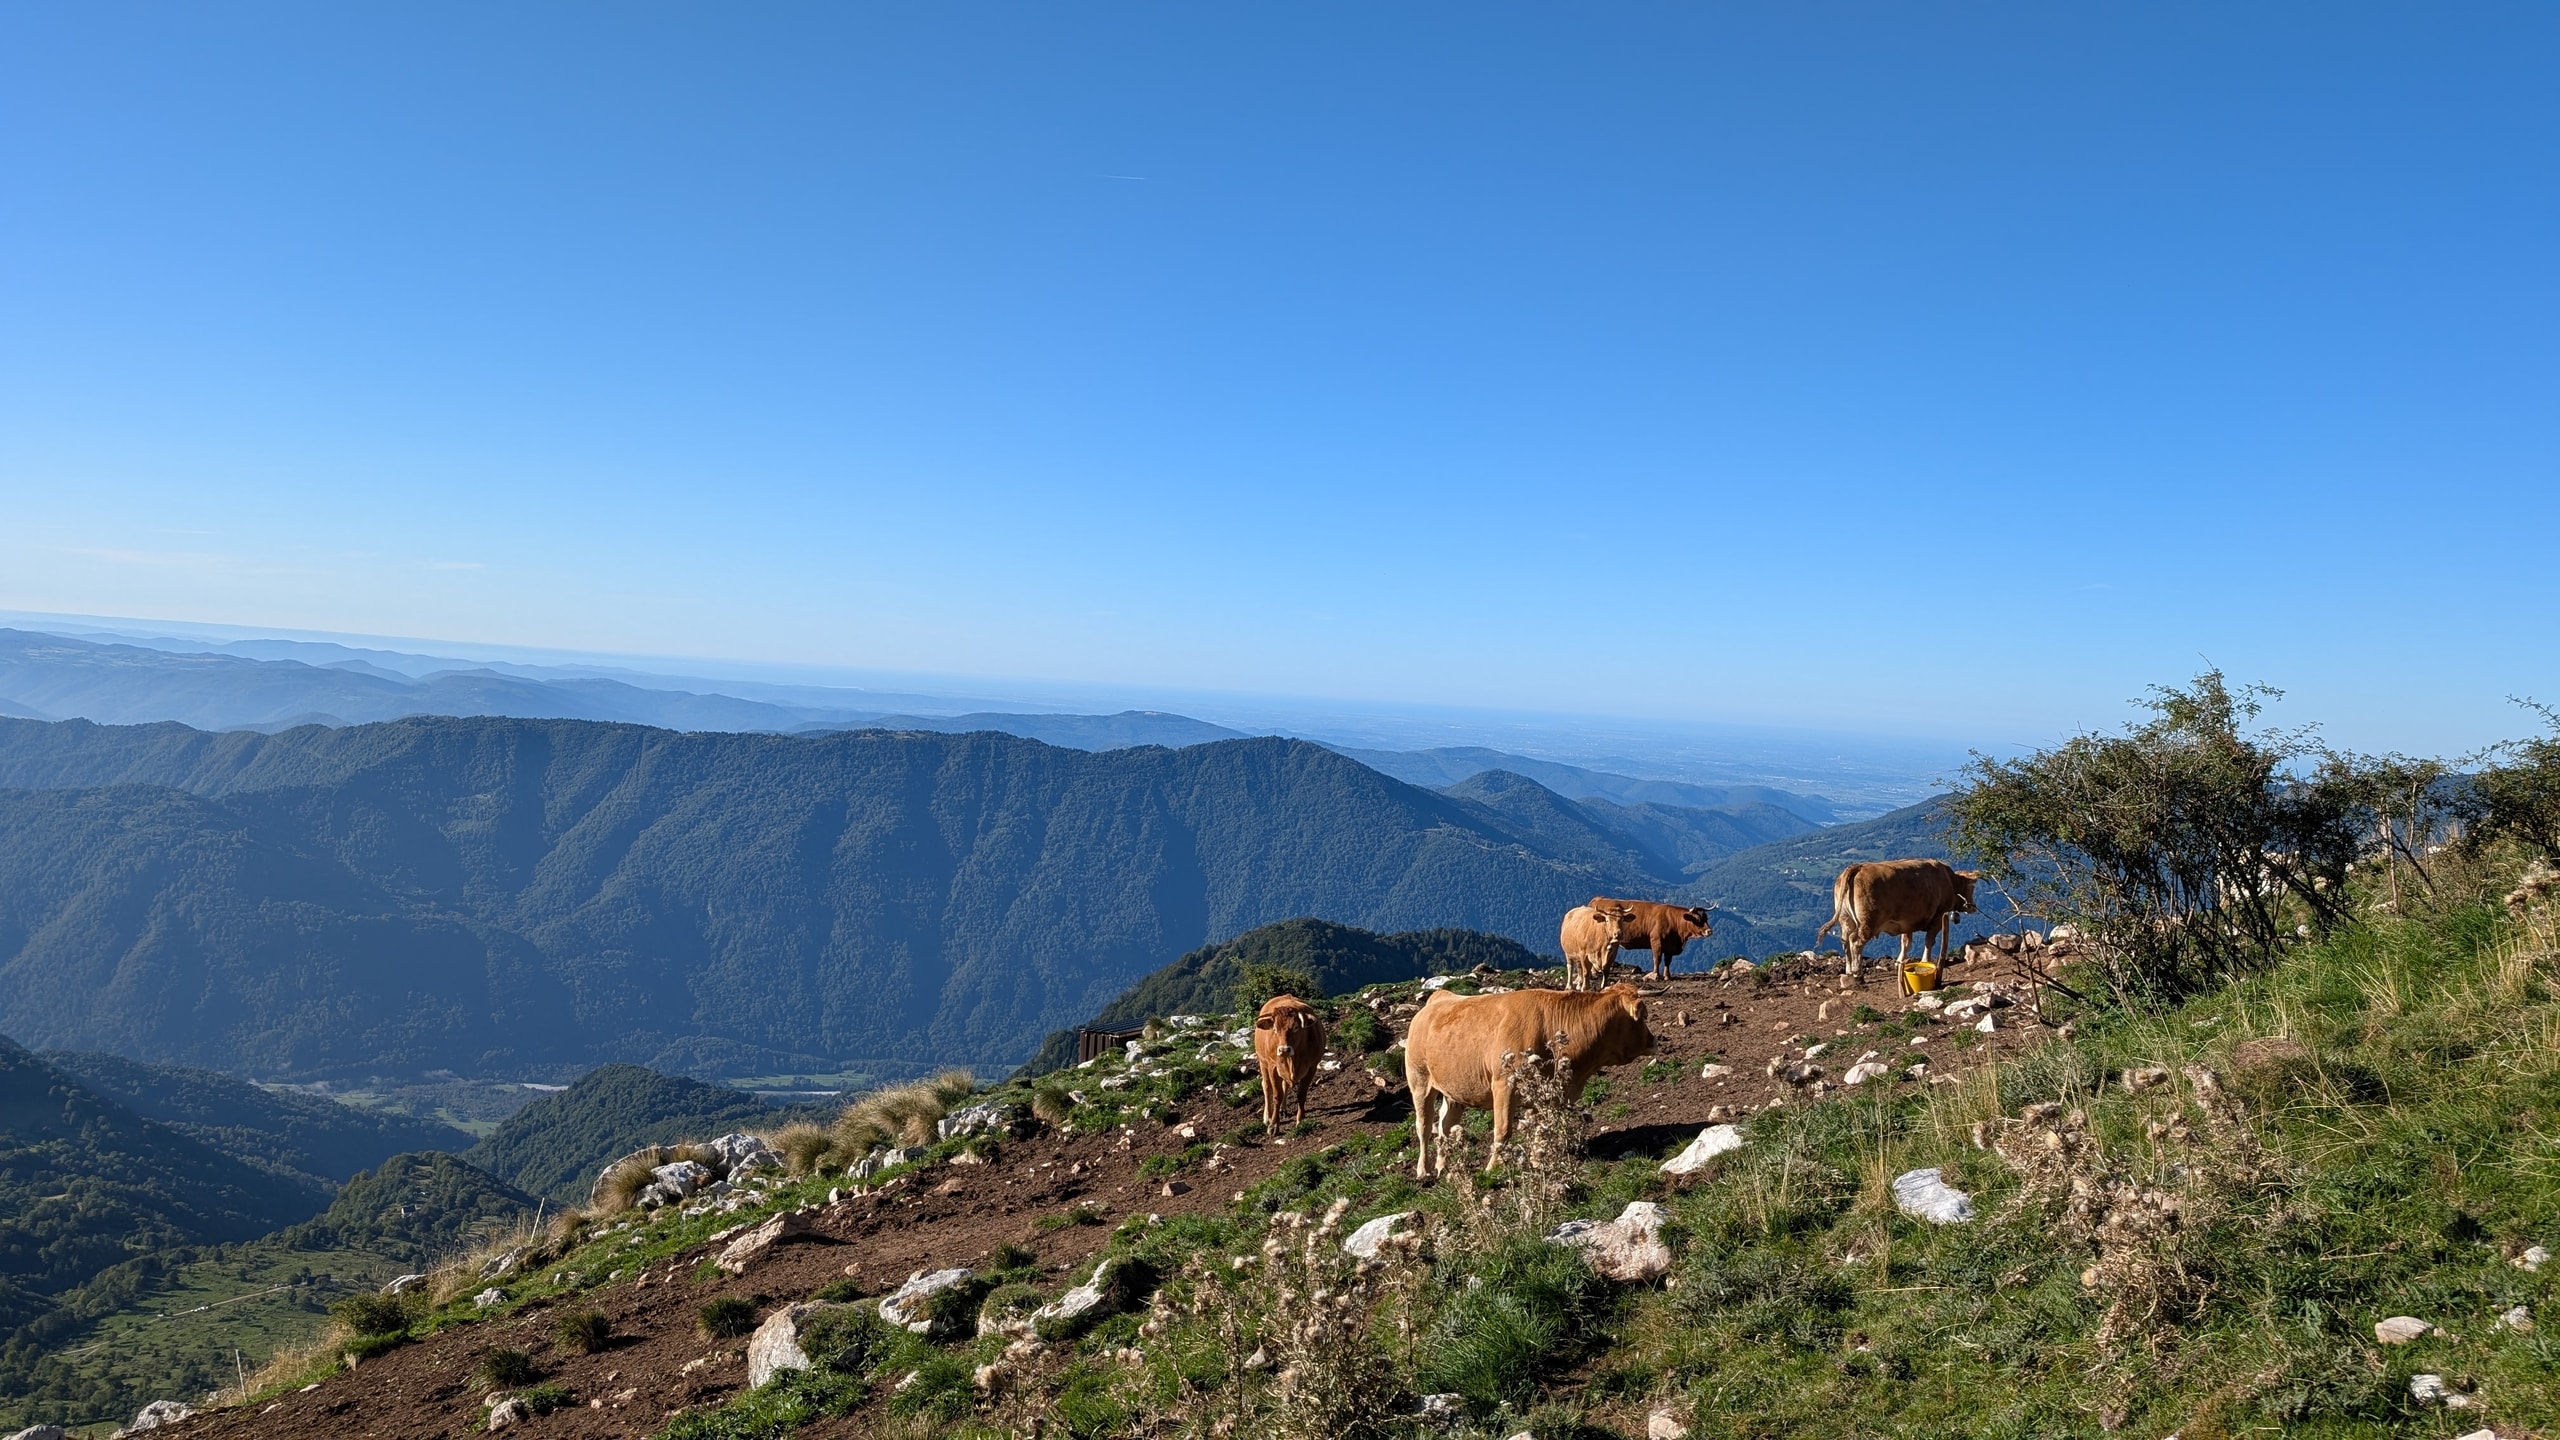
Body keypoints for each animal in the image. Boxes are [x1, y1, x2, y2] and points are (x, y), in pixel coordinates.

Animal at [1253, 994, 1327, 1129]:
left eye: (1296, 1027)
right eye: (1275, 1029)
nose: (1284, 1050)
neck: (1293, 1060)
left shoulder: (1312, 1067)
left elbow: (1301, 1094)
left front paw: (1300, 1120)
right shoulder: (1273, 1067)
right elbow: (1277, 1095)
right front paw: (1273, 1125)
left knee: (1285, 1085)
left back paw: (1283, 1109)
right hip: (1263, 1062)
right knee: (1266, 1086)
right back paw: (1267, 1117)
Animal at [1402, 981, 1655, 1178]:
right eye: (1643, 1016)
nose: (1654, 1040)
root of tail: (1439, 998)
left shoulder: (1545, 1094)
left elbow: (1540, 1129)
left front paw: (1537, 1162)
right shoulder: (1504, 1084)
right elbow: (1503, 1130)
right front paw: (1493, 1168)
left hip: (1454, 1090)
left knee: (1444, 1125)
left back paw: (1443, 1166)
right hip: (1419, 1081)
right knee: (1424, 1126)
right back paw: (1423, 1171)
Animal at [1588, 897, 1716, 980]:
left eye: (1706, 918)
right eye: (1698, 920)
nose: (1709, 931)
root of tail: (1598, 899)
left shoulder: (1670, 947)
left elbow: (1667, 961)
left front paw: (1667, 976)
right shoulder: (1656, 942)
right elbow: (1657, 959)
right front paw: (1656, 975)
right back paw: (1594, 973)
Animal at [1814, 860, 1982, 978]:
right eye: (1972, 888)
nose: (1973, 906)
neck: (1949, 881)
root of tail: (1858, 867)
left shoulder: (1907, 922)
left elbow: (1905, 942)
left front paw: (1900, 961)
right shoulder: (1937, 919)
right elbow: (1929, 941)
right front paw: (1925, 960)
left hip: (1846, 920)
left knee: (1845, 941)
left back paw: (1849, 970)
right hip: (1869, 921)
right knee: (1856, 942)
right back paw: (1857, 971)